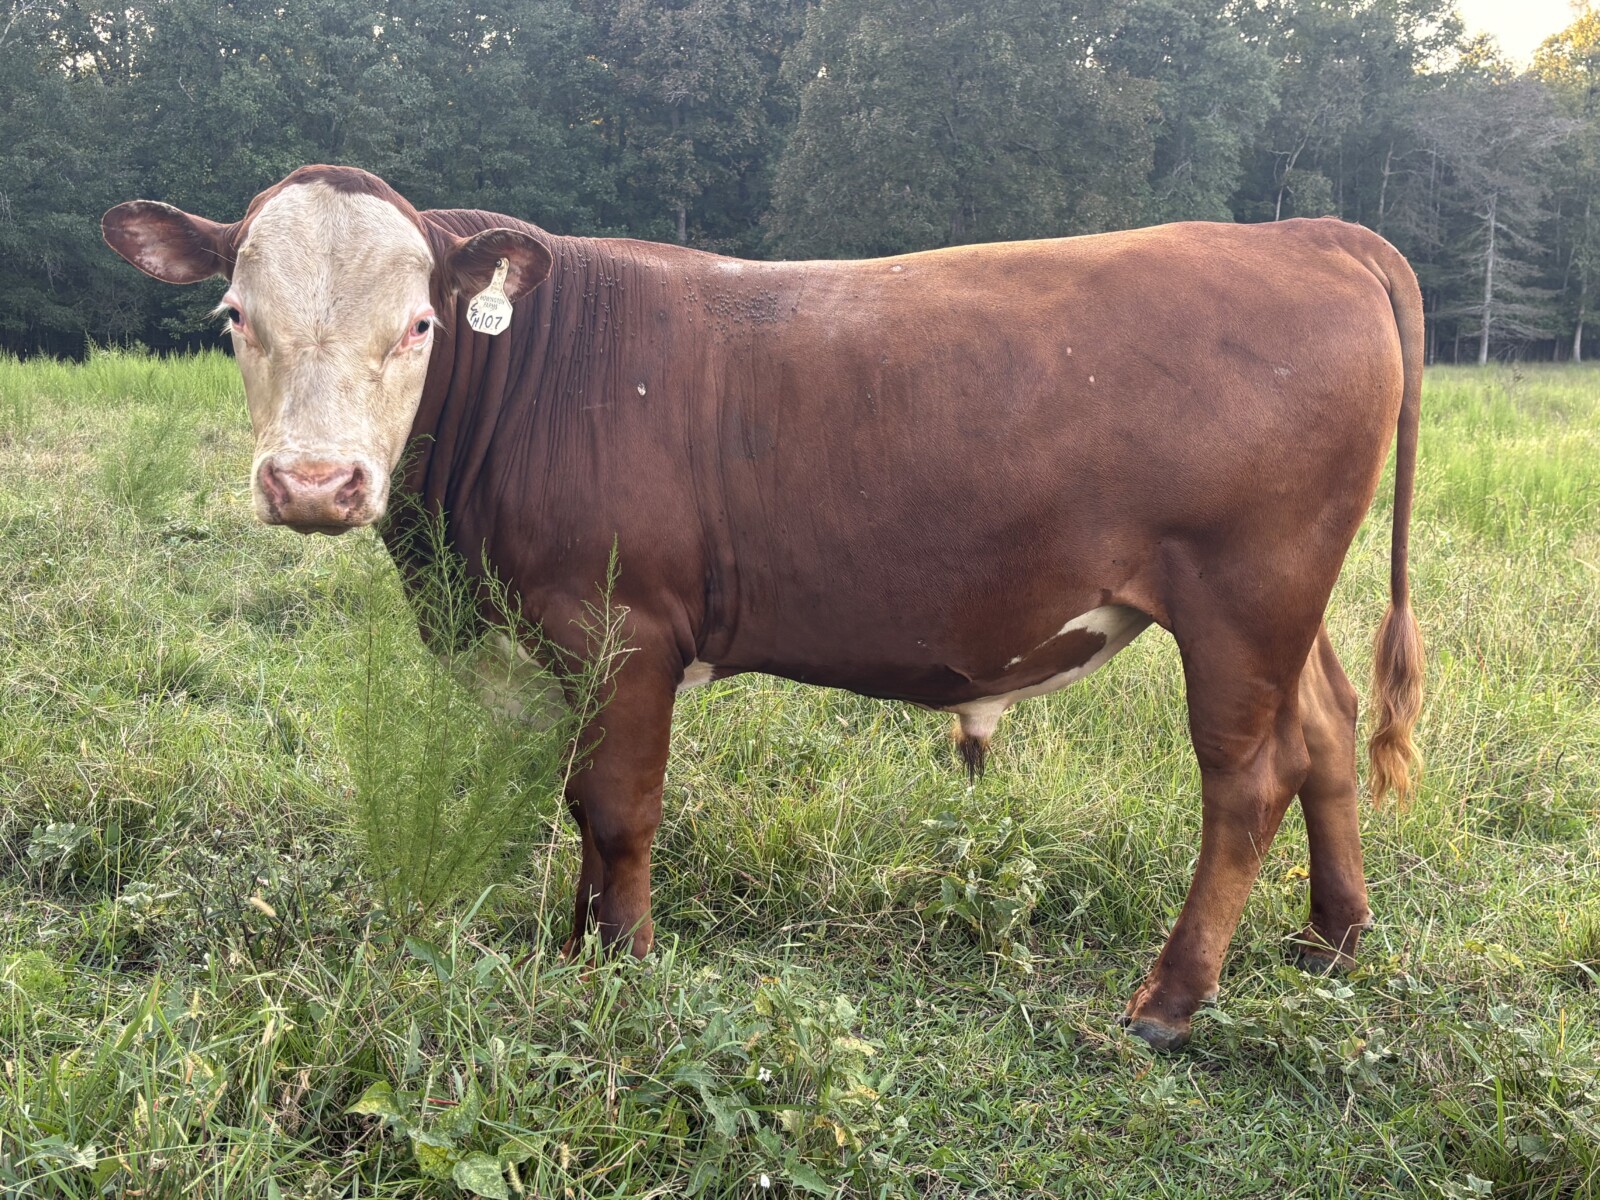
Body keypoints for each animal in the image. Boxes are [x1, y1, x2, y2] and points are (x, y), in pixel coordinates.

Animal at [103, 164, 1423, 1051]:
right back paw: (1331, 939)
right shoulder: (558, 649)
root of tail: (1308, 235)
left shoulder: (623, 628)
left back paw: (1172, 999)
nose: (314, 484)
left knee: (1245, 779)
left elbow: (619, 807)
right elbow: (579, 803)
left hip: (1242, 591)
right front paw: (578, 940)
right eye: (235, 319)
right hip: (1285, 604)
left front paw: (622, 962)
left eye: (418, 323)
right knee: (1325, 732)